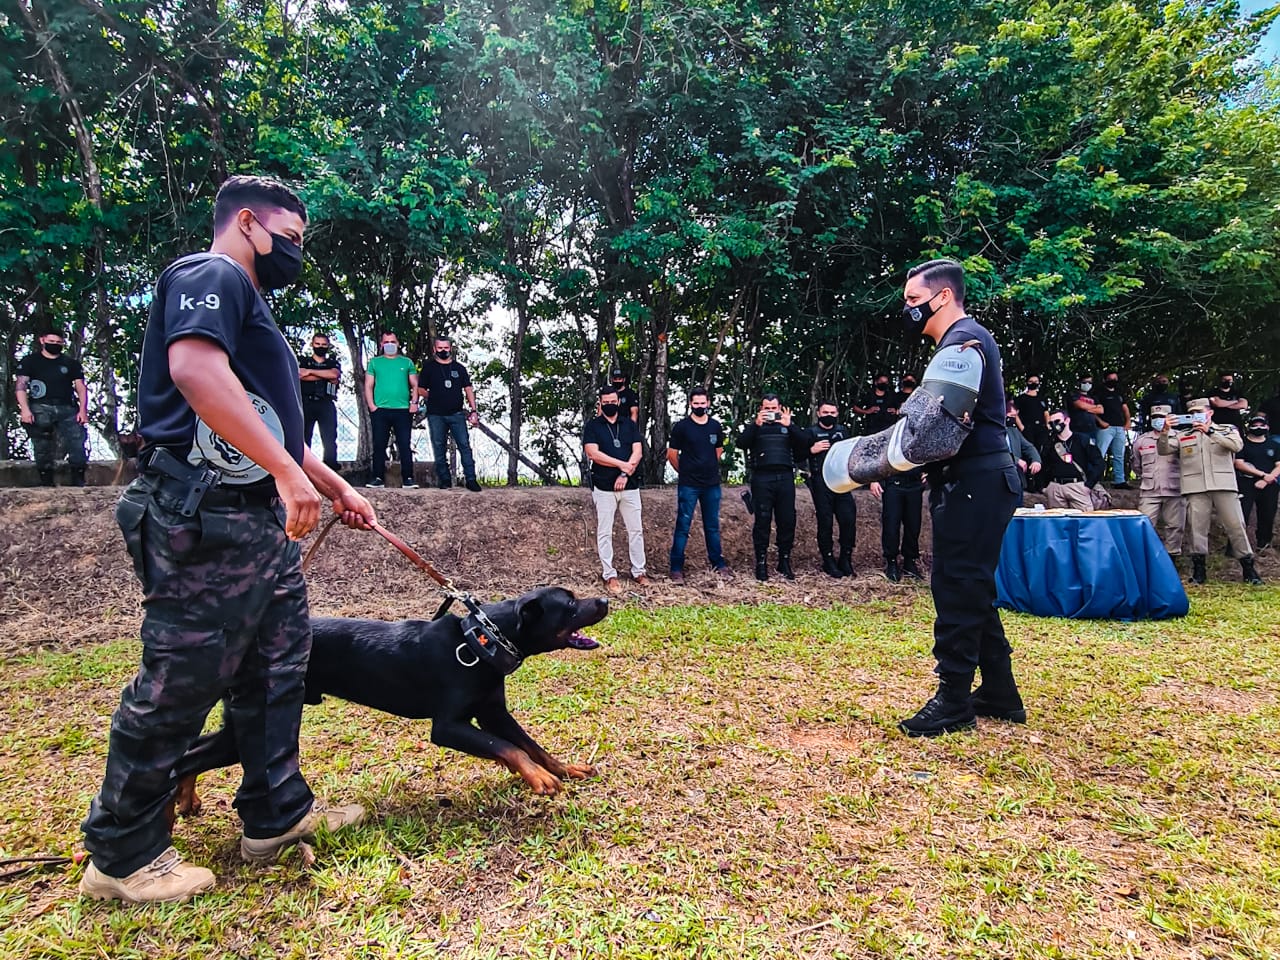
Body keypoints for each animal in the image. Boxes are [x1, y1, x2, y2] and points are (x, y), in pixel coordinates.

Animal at [170, 586, 609, 819]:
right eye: (569, 605)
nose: (604, 600)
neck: (481, 641)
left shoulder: (493, 714)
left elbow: (532, 745)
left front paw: (564, 768)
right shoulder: (448, 727)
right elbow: (509, 750)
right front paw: (540, 779)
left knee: (193, 752)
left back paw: (186, 801)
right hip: (255, 723)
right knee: (187, 757)